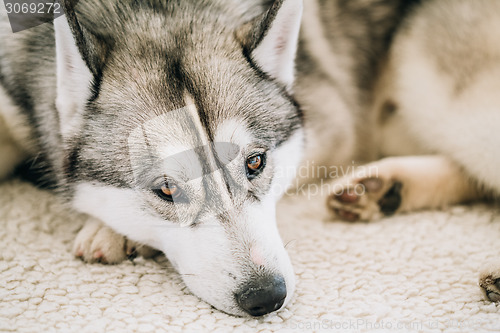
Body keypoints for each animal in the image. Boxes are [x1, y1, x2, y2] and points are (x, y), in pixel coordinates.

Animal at [0, 0, 498, 316]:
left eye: (255, 163)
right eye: (166, 188)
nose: (266, 298)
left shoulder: (334, 119)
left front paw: (112, 230)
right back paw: (385, 188)